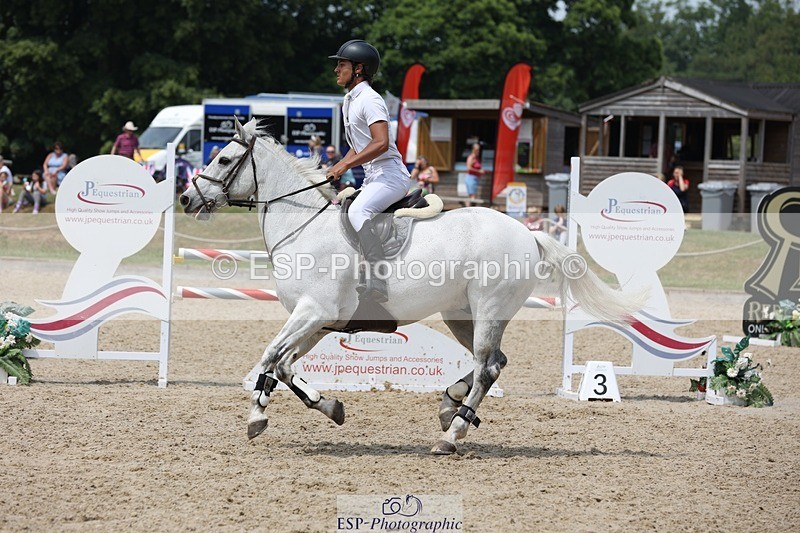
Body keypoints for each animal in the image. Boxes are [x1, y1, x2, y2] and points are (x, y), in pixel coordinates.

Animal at [179, 118, 644, 455]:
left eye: (224, 160)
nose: (186, 198)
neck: (303, 227)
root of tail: (527, 233)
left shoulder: (312, 312)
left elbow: (270, 356)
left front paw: (257, 418)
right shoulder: (317, 322)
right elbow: (283, 366)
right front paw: (329, 407)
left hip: (489, 309)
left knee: (487, 367)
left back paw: (452, 435)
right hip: (461, 314)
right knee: (494, 363)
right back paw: (449, 406)